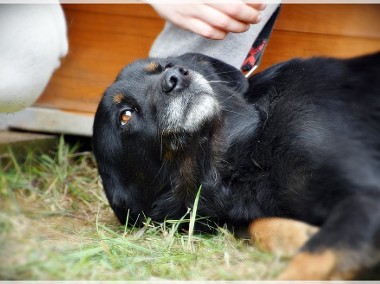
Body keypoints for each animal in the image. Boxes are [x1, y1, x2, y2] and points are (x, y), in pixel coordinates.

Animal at [93, 52, 380, 280]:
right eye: (125, 115)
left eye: (167, 65)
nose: (176, 76)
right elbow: (253, 225)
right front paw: (301, 234)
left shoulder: (366, 197)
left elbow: (309, 261)